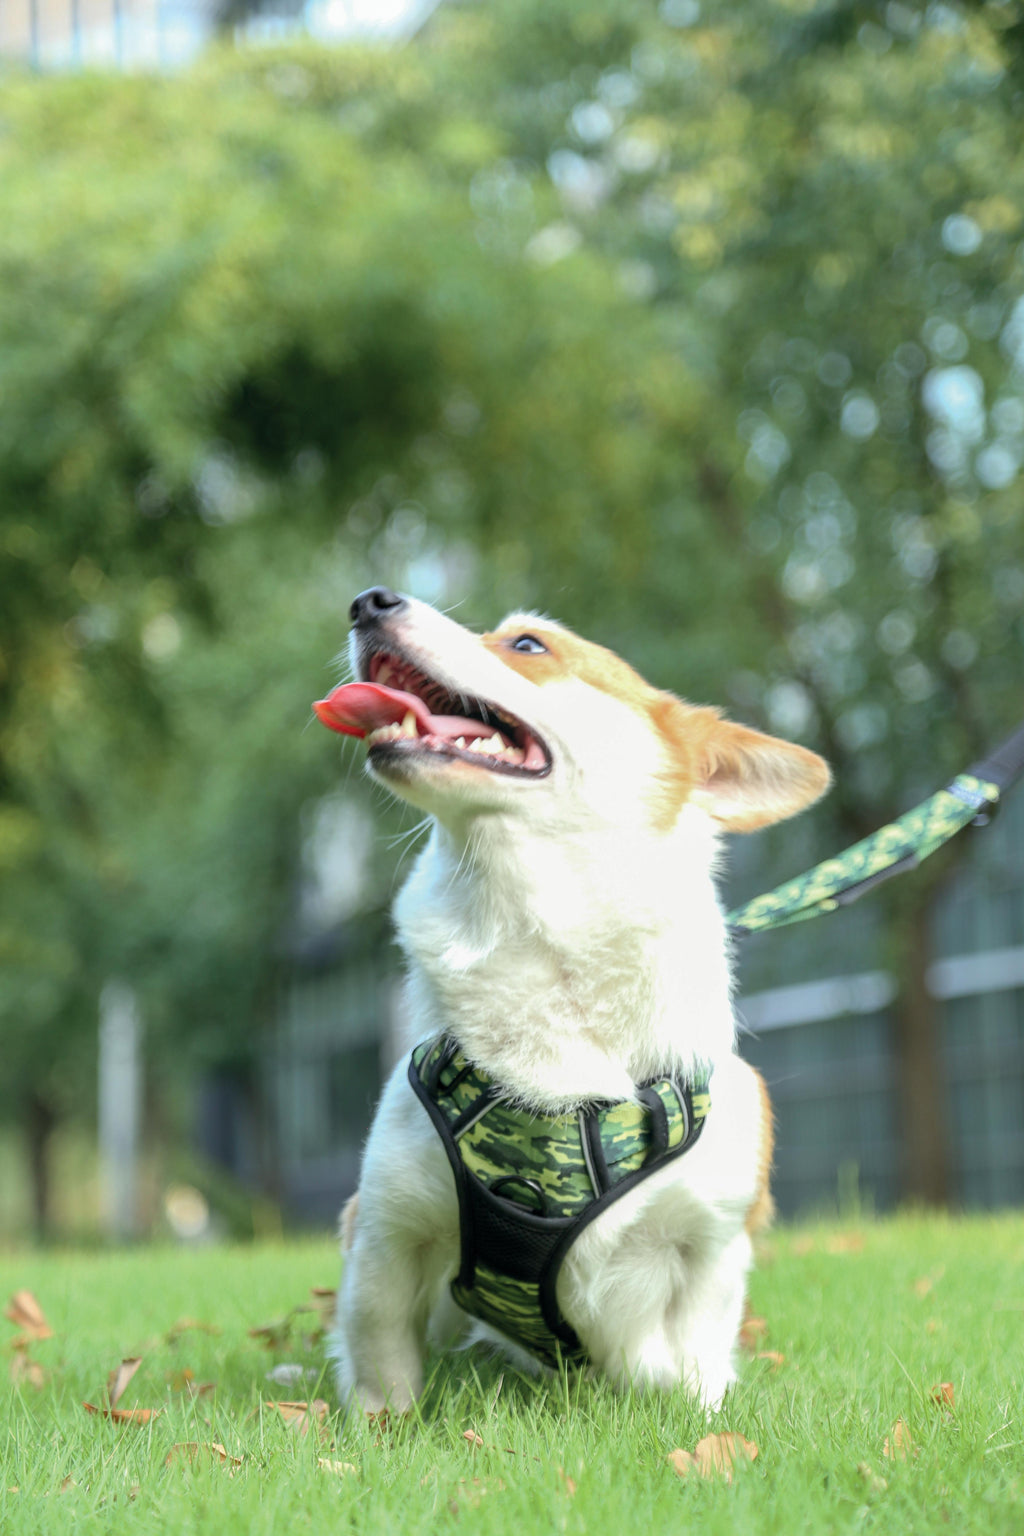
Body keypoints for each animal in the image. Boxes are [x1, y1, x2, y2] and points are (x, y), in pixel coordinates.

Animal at [314, 586, 835, 1413]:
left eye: (528, 646)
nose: (370, 599)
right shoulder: (388, 1235)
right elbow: (380, 1357)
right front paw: (379, 1427)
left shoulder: (710, 1247)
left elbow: (696, 1357)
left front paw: (700, 1418)